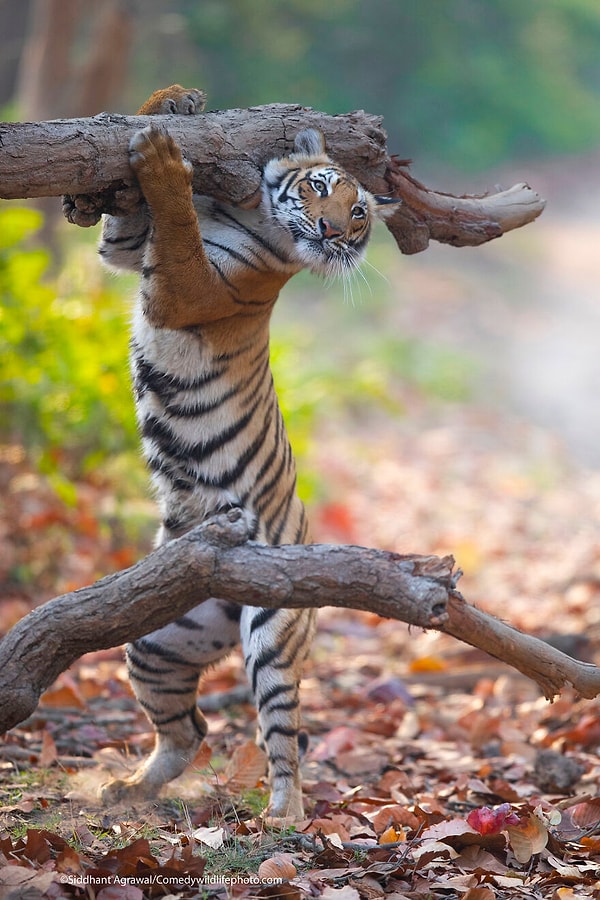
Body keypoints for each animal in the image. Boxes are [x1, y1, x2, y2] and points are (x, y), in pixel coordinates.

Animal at [94, 86, 398, 824]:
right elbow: (123, 227)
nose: (334, 233)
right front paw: (169, 104)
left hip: (272, 634)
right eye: (322, 186)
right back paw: (129, 789)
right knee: (190, 729)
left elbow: (174, 227)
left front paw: (164, 161)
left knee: (282, 737)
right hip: (155, 639)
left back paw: (281, 818)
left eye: (359, 213)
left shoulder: (188, 288)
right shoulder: (124, 251)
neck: (250, 211)